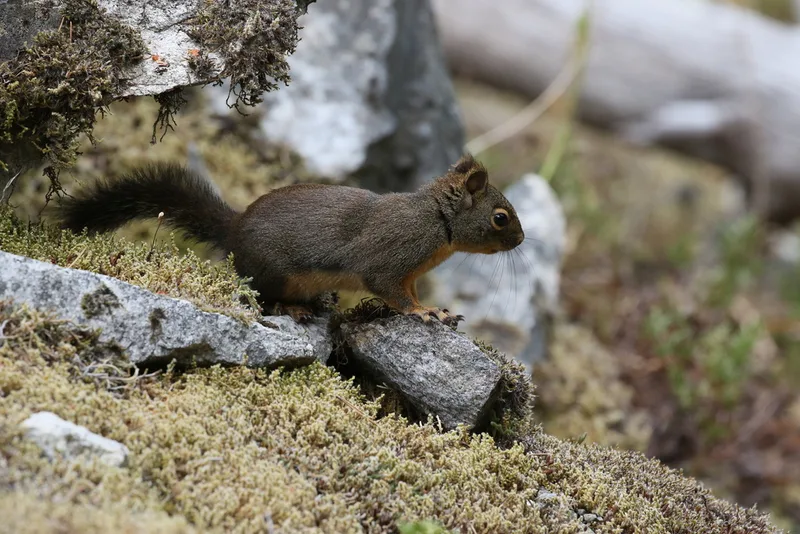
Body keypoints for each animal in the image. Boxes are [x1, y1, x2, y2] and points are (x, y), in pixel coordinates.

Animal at [57, 153, 525, 324]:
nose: (522, 240)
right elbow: (392, 291)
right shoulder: (391, 256)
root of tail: (234, 231)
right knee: (259, 296)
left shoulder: (410, 272)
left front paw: (436, 308)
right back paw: (290, 307)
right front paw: (423, 313)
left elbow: (407, 291)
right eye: (501, 218)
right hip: (273, 273)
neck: (436, 221)